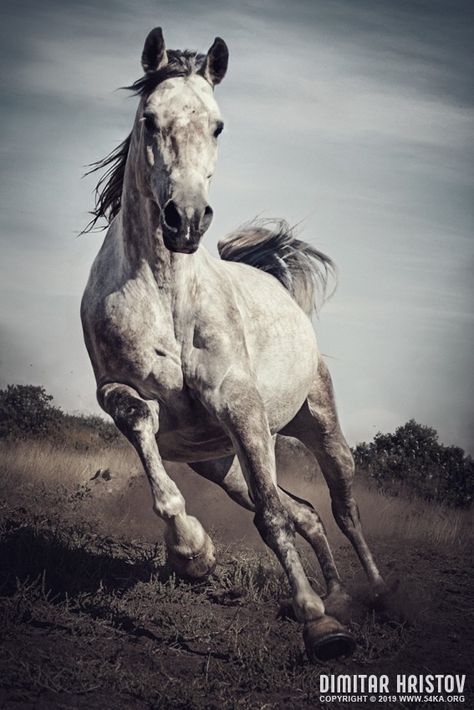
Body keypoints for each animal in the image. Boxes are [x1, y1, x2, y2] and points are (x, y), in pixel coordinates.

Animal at [81, 27, 386, 660]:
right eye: (149, 119)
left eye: (218, 125)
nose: (186, 220)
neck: (168, 297)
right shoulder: (116, 392)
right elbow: (146, 435)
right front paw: (192, 553)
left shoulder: (240, 406)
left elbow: (271, 519)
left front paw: (319, 629)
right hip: (222, 464)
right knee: (308, 513)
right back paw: (338, 597)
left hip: (314, 427)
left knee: (341, 506)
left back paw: (377, 596)